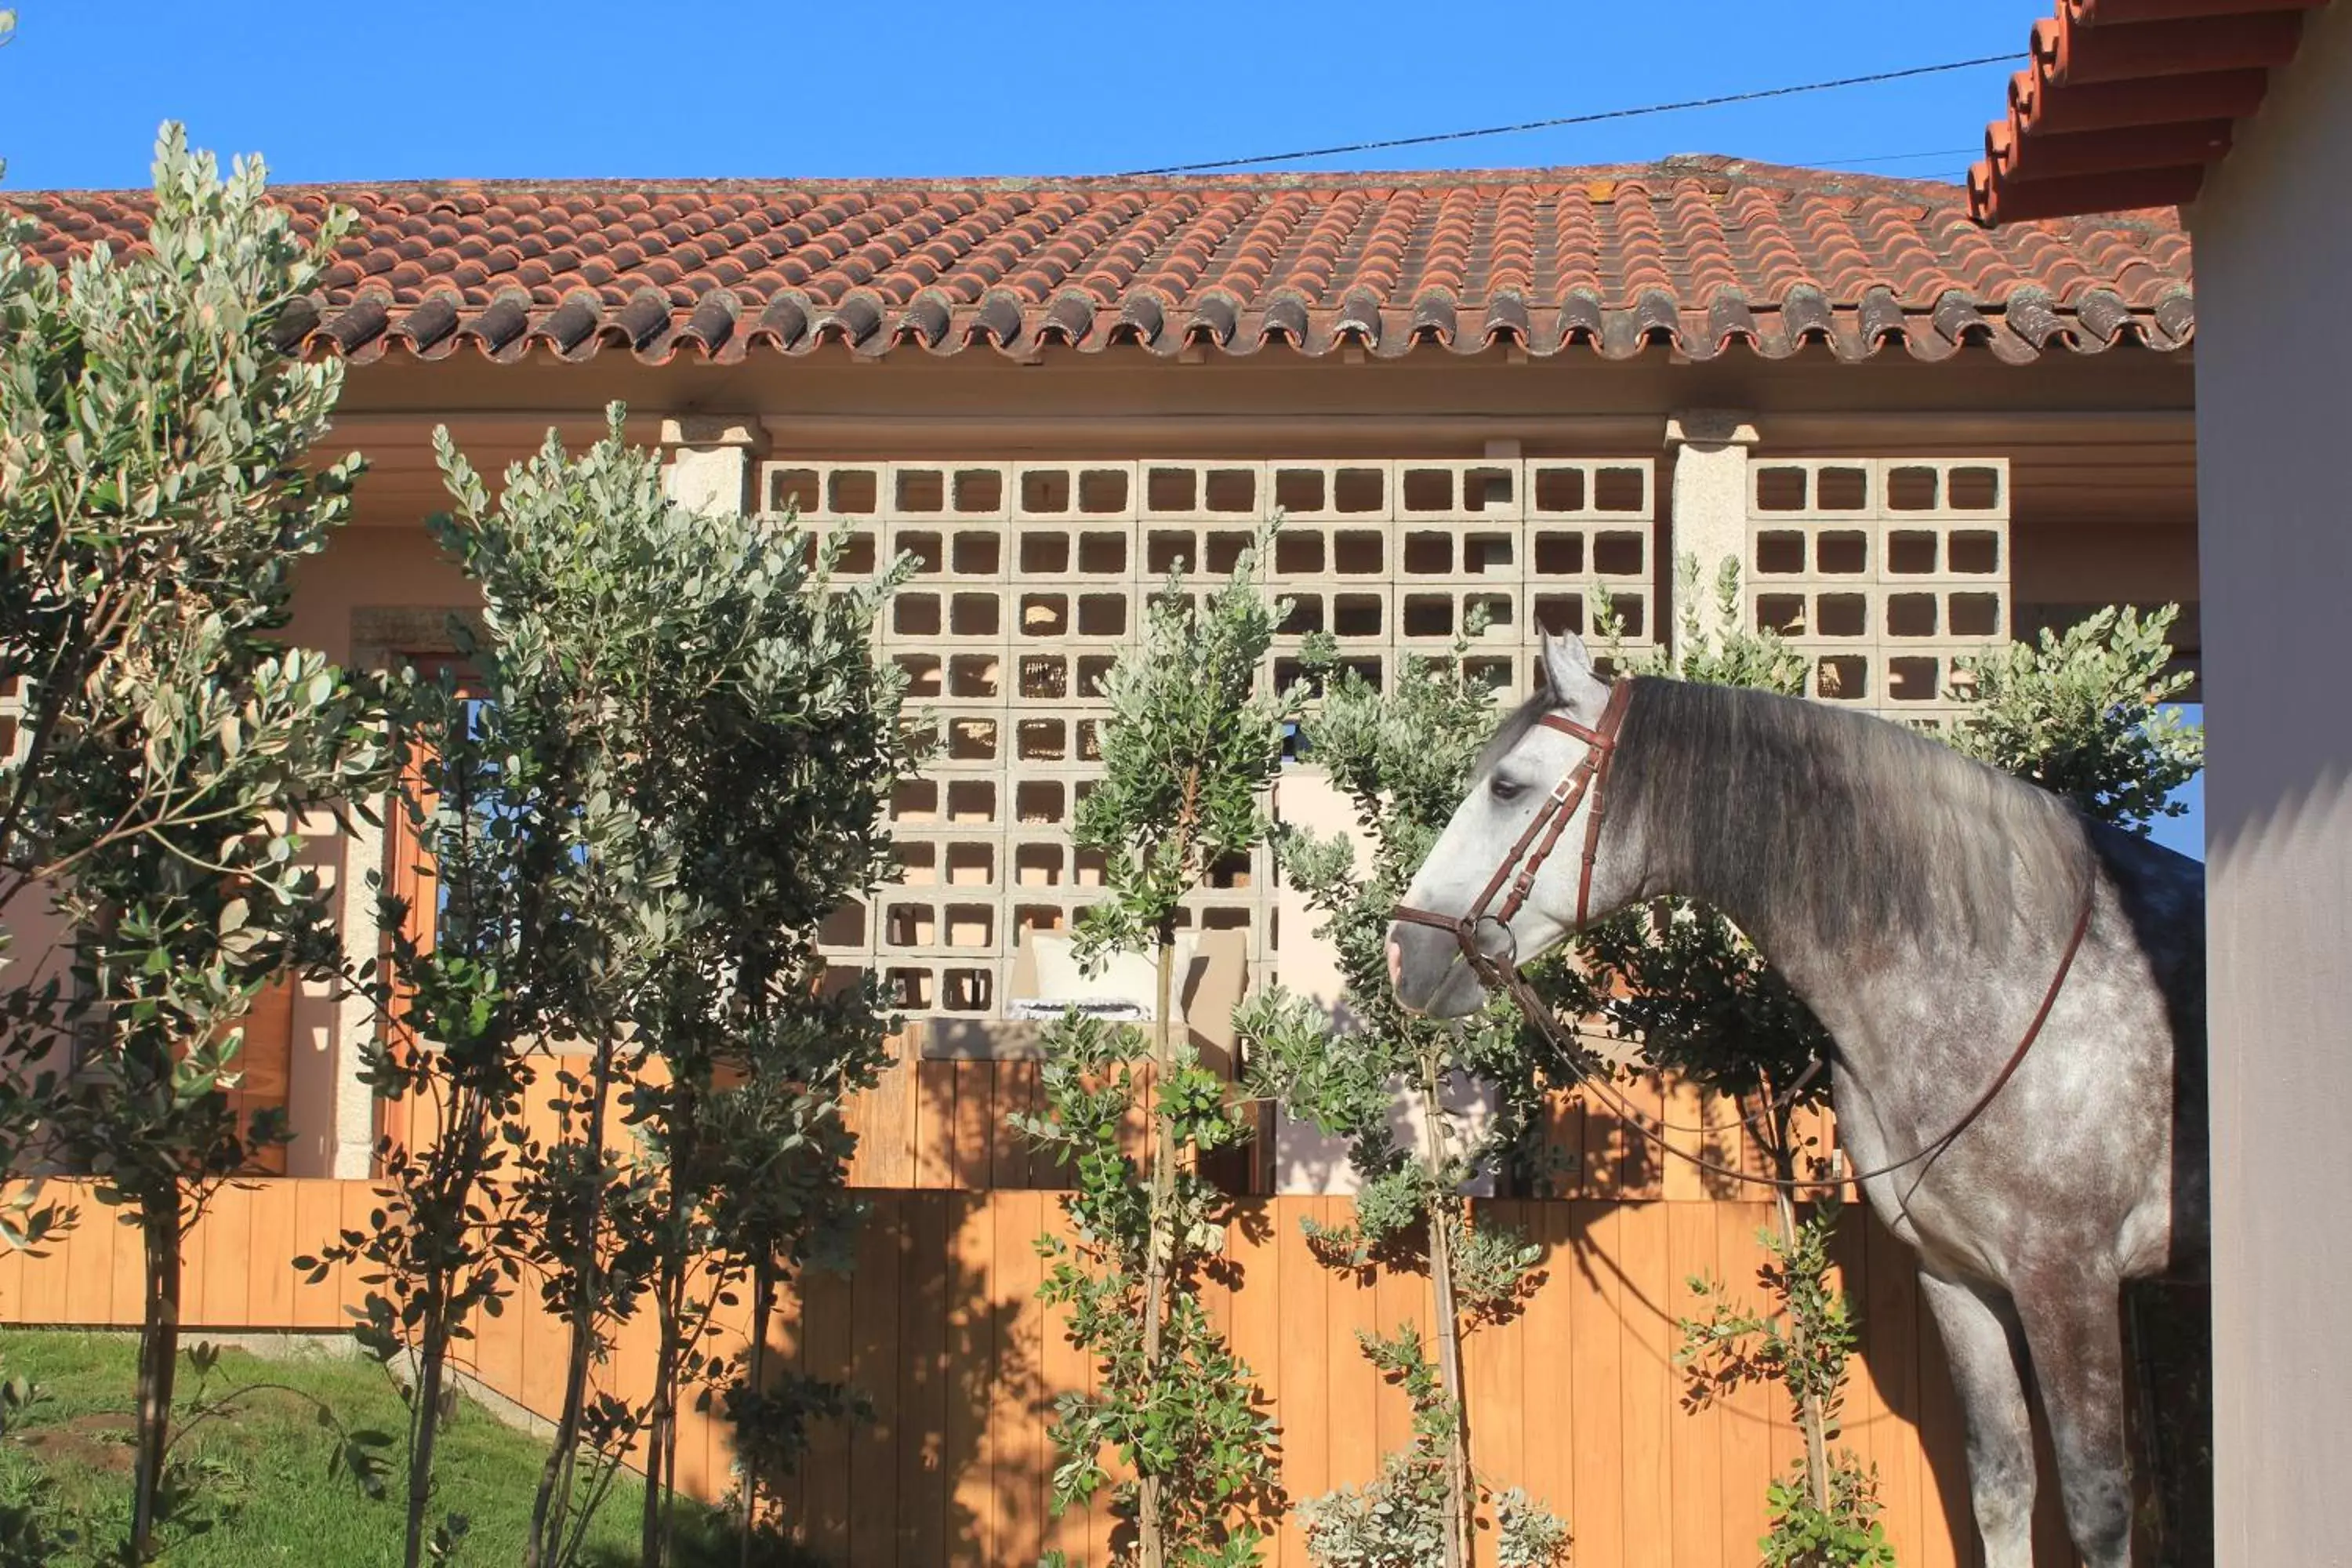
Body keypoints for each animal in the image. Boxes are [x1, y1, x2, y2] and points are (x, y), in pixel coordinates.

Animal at [1374, 630, 2201, 1561]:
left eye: (1507, 785)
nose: (1403, 949)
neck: (2003, 977)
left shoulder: (2070, 1279)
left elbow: (2095, 1506)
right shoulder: (1958, 1277)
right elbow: (2001, 1487)